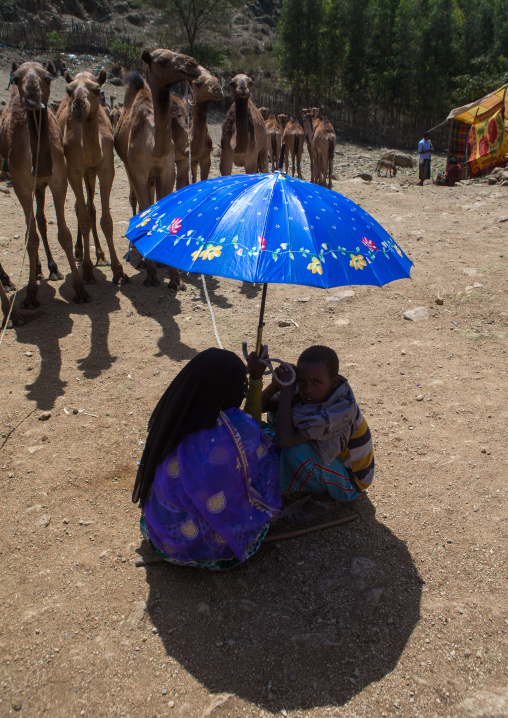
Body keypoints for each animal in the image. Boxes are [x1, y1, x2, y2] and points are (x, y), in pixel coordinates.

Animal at [0, 61, 89, 310]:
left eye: (48, 77)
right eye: (16, 78)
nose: (31, 89)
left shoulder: (58, 181)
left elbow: (64, 234)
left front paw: (81, 290)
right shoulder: (21, 185)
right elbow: (31, 238)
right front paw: (31, 295)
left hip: (40, 186)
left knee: (40, 220)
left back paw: (51, 268)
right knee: (33, 225)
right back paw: (26, 274)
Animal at [57, 69, 127, 285]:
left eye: (97, 89)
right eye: (68, 89)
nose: (79, 103)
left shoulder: (105, 171)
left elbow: (106, 220)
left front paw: (118, 270)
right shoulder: (74, 171)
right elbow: (84, 218)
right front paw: (87, 270)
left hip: (90, 175)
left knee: (91, 208)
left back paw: (101, 255)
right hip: (80, 174)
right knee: (80, 208)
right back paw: (80, 251)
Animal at [114, 48, 200, 289]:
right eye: (162, 61)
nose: (192, 64)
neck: (154, 147)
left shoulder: (166, 170)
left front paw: (175, 279)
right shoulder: (138, 171)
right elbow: (145, 207)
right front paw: (151, 275)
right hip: (129, 168)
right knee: (136, 202)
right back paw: (140, 255)